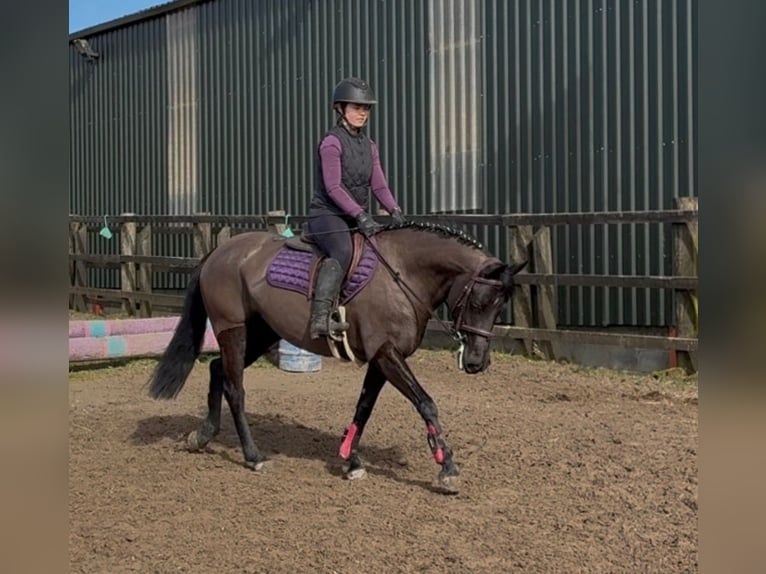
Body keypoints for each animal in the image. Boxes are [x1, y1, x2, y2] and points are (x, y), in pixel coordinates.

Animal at [147, 220, 526, 493]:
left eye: (500, 306)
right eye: (478, 301)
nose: (476, 362)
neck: (402, 274)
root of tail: (219, 252)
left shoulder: (380, 359)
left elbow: (364, 407)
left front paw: (351, 460)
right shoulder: (387, 354)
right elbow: (426, 403)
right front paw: (446, 466)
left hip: (262, 331)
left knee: (216, 370)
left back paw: (203, 436)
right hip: (233, 330)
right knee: (235, 388)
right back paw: (254, 457)